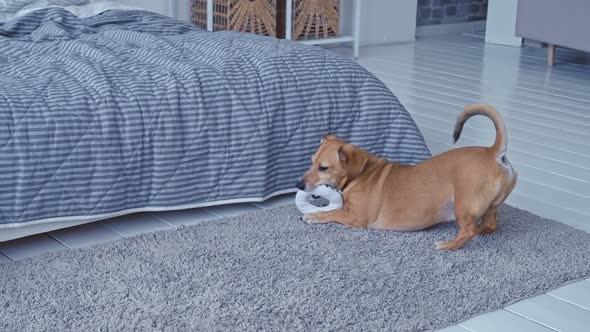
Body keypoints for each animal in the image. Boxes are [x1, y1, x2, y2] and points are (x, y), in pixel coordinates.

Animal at [296, 103, 520, 249]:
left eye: (323, 168)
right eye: (311, 161)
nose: (298, 184)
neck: (362, 174)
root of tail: (493, 152)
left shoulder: (356, 217)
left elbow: (331, 213)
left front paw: (313, 216)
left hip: (463, 204)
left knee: (468, 231)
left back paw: (448, 245)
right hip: (489, 207)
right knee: (489, 225)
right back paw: (479, 230)